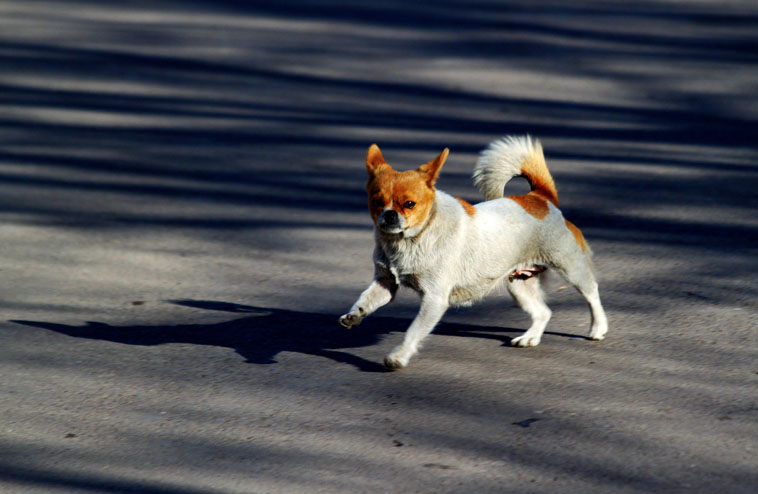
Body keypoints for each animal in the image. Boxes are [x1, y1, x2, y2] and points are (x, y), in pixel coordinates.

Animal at [342, 137, 608, 368]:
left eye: (409, 204)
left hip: (570, 268)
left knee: (592, 294)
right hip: (519, 285)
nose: (389, 215)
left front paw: (399, 356)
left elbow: (414, 331)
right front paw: (355, 314)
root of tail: (541, 198)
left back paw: (598, 328)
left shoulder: (434, 299)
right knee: (543, 312)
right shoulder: (385, 283)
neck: (410, 240)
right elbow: (366, 299)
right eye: (376, 202)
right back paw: (530, 337)